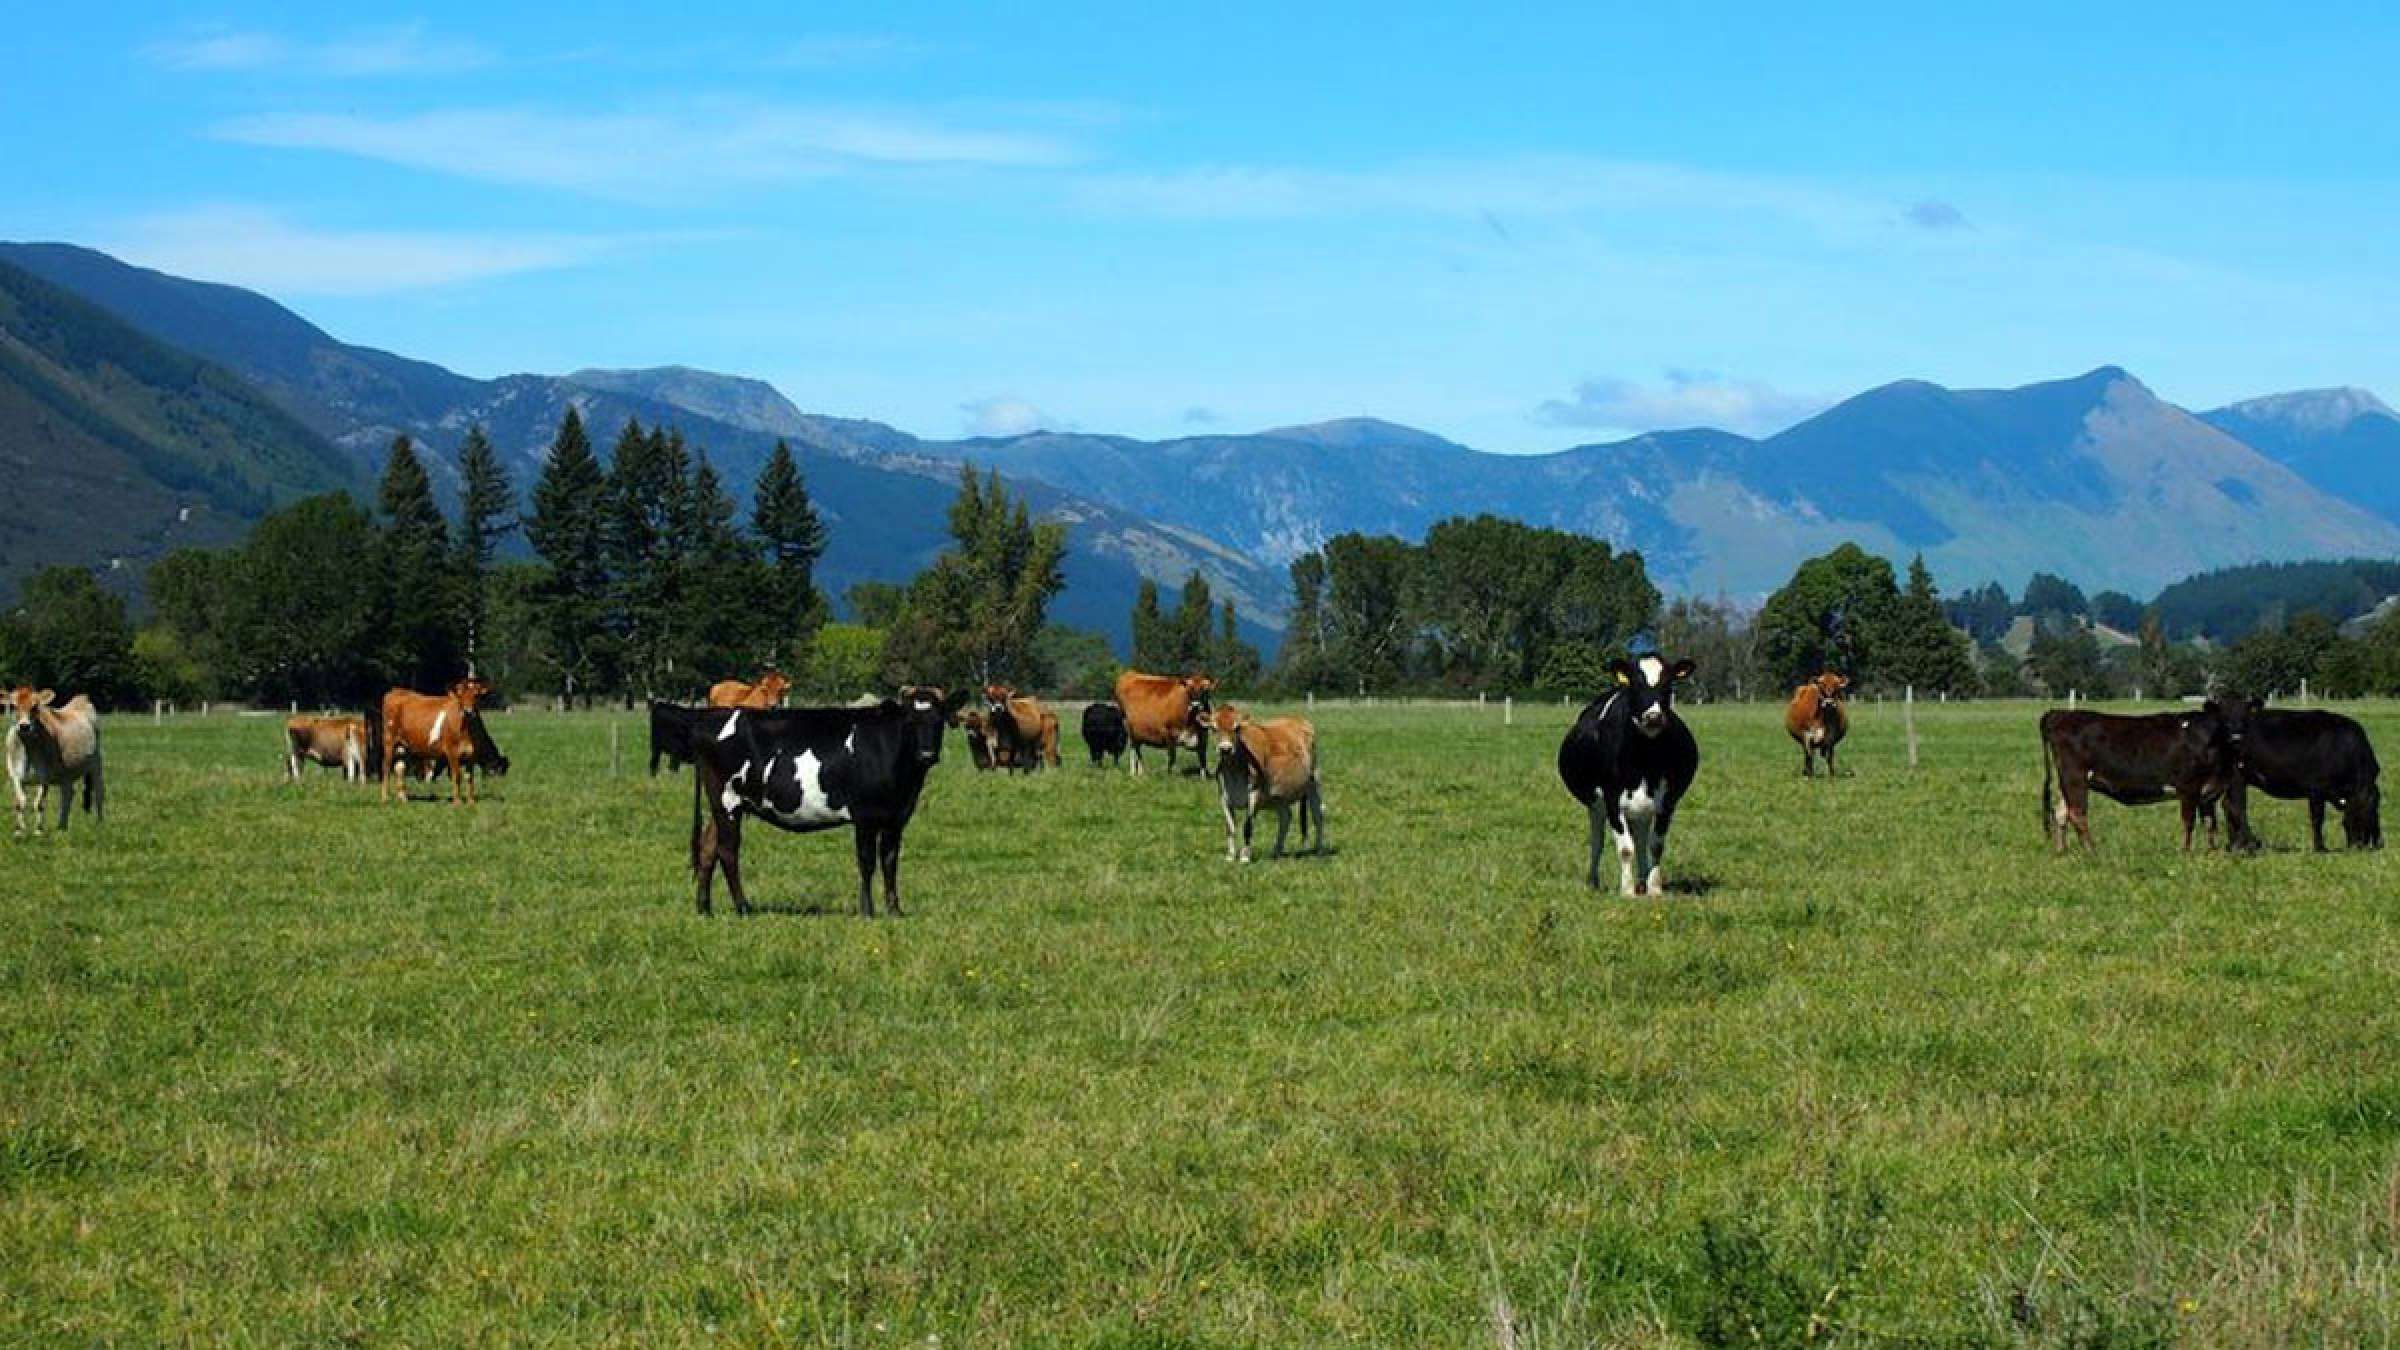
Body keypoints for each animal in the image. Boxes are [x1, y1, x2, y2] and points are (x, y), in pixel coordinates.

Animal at [686, 682, 964, 912]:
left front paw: (895, 911)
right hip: (728, 801)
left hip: (725, 806)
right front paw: (868, 911)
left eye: (939, 719)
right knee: (727, 850)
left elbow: (890, 861)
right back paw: (743, 907)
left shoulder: (896, 817)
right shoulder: (865, 815)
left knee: (708, 847)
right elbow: (867, 862)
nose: (927, 754)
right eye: (909, 721)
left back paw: (705, 908)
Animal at [1209, 706, 1324, 859]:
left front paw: (1245, 856)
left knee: (1318, 814)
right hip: (1279, 796)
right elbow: (1230, 827)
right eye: (1213, 728)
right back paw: (1277, 851)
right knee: (1285, 817)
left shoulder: (1254, 795)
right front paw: (1230, 856)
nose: (1225, 749)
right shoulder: (1224, 797)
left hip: (1313, 782)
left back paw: (1319, 849)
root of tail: (1298, 719)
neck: (1235, 770)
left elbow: (1247, 827)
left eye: (1237, 728)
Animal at [1555, 653, 1708, 893]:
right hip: (1595, 805)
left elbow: (1655, 845)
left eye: (1669, 685)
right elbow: (1626, 849)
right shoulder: (1611, 800)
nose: (1653, 717)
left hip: (1641, 809)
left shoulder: (1668, 802)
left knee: (1641, 839)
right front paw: (1626, 891)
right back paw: (1594, 881)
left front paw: (1654, 889)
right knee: (1597, 842)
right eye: (1636, 686)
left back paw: (1642, 882)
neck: (1645, 763)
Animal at [2035, 696, 2256, 845]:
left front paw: (2212, 854)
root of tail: (2061, 713)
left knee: (2060, 813)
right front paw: (2186, 853)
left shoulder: (2209, 793)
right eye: (2223, 716)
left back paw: (2062, 852)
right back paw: (2092, 852)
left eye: (2245, 715)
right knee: (2077, 814)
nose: (2236, 736)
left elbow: (2210, 824)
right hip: (2074, 777)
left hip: (2067, 781)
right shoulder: (2189, 787)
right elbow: (2189, 822)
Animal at [2208, 696, 2380, 845]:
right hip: (2237, 776)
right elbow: (2317, 818)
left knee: (2228, 805)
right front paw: (2320, 848)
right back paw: (2246, 844)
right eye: (2360, 817)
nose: (2359, 846)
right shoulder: (2317, 789)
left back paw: (2235, 845)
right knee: (2235, 807)